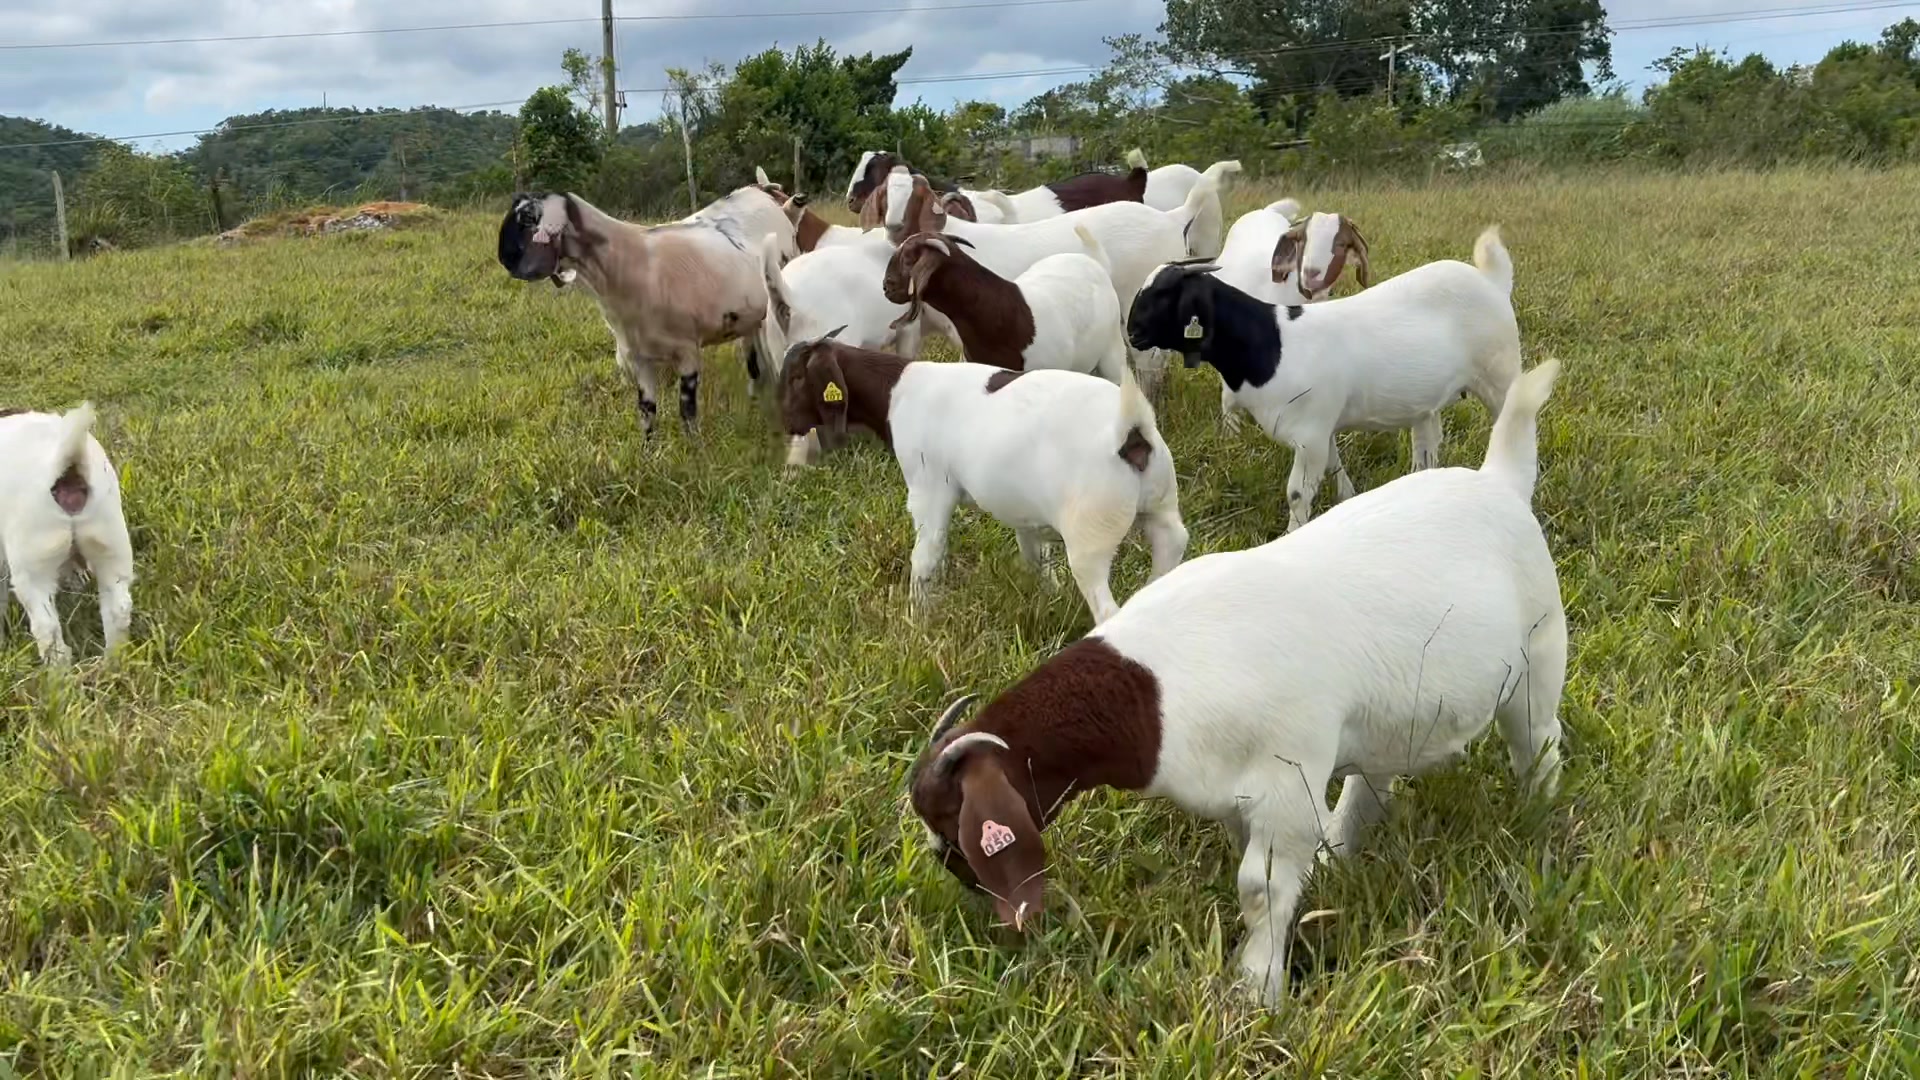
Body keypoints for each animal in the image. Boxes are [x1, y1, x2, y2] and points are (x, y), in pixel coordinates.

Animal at [1, 403, 135, 667]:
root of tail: (68, 466)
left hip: (33, 562)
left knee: (47, 626)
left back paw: (58, 672)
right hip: (110, 541)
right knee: (118, 608)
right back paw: (113, 661)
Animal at [498, 192, 776, 434]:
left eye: (529, 219)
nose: (504, 259)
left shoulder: (687, 351)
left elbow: (687, 410)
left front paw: (695, 450)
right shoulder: (638, 356)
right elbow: (647, 410)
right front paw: (650, 453)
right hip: (749, 323)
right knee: (753, 363)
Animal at [779, 330, 1187, 624]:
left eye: (797, 377)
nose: (787, 424)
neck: (896, 390)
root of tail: (1131, 432)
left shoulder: (929, 489)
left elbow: (925, 558)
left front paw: (915, 621)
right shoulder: (1025, 511)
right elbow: (1035, 555)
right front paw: (1046, 594)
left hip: (1090, 536)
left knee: (1106, 608)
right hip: (1161, 511)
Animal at [907, 357, 1565, 1006]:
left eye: (949, 816)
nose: (961, 879)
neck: (1155, 691)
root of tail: (1498, 481)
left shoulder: (1287, 788)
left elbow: (1258, 888)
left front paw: (1257, 991)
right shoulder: (1228, 793)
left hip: (1538, 659)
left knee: (1540, 745)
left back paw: (1537, 823)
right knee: (1373, 779)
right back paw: (1340, 851)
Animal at [1127, 227, 1521, 532]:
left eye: (1163, 293)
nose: (1132, 333)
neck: (1271, 343)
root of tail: (1491, 281)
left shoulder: (1309, 433)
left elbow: (1298, 493)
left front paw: (1293, 534)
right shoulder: (1321, 426)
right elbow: (1334, 466)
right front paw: (1347, 498)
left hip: (1500, 376)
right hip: (1427, 403)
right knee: (1426, 446)